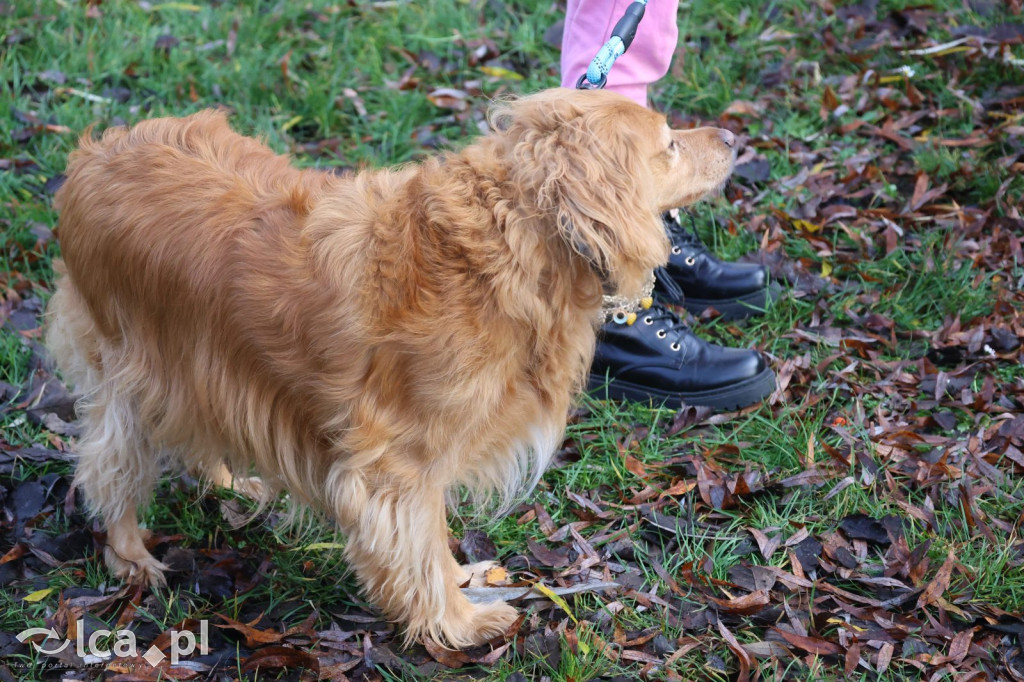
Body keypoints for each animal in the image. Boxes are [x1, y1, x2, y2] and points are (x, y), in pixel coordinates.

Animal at [46, 87, 737, 647]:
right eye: (670, 145)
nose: (733, 137)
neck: (510, 244)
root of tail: (94, 154)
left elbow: (430, 540)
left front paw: (460, 583)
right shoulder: (398, 464)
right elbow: (419, 546)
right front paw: (456, 620)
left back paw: (233, 482)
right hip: (131, 366)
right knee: (108, 464)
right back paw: (130, 557)